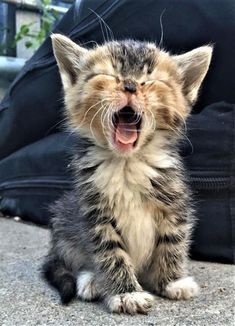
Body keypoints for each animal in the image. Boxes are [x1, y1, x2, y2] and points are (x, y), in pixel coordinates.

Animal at [42, 34, 213, 314]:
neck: (127, 164)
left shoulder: (174, 202)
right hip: (64, 222)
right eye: (109, 75)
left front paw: (171, 281)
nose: (130, 86)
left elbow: (172, 242)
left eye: (150, 80)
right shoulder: (93, 212)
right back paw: (90, 280)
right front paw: (126, 293)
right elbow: (110, 253)